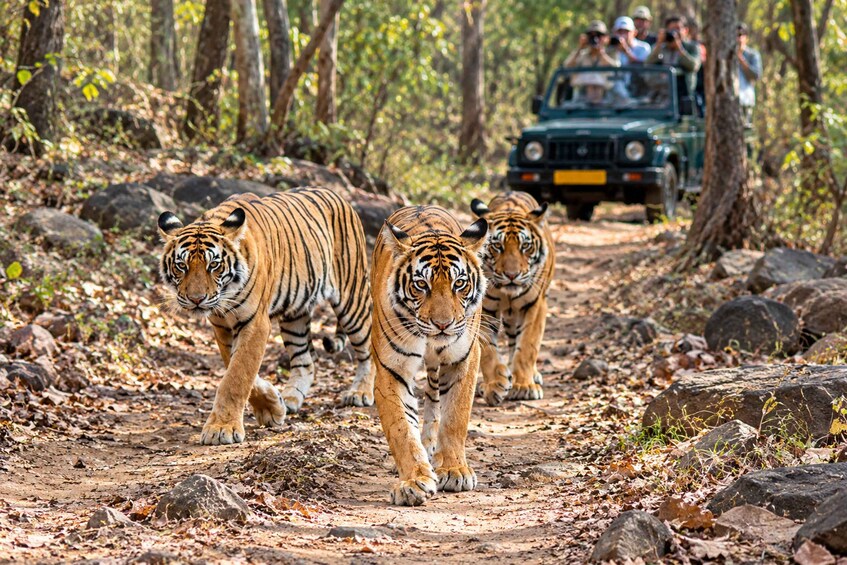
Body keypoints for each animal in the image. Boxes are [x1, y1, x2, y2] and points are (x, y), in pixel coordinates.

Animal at [157, 187, 374, 446]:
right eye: (181, 265)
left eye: (214, 265)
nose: (196, 299)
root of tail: (338, 194)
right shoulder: (222, 328)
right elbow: (238, 370)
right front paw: (272, 406)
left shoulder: (255, 323)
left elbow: (237, 376)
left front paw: (222, 429)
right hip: (295, 316)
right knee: (305, 361)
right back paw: (290, 399)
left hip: (353, 298)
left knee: (368, 349)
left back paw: (360, 392)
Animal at [371, 205, 489, 506]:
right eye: (421, 284)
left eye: (459, 283)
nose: (443, 324)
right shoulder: (392, 369)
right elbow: (401, 427)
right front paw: (413, 481)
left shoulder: (464, 359)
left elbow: (455, 416)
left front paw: (455, 470)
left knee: (435, 401)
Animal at [470, 191, 556, 404]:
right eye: (497, 246)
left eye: (525, 246)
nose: (511, 275)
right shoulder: (484, 309)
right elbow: (488, 349)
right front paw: (495, 385)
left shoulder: (535, 305)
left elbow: (527, 346)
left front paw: (524, 386)